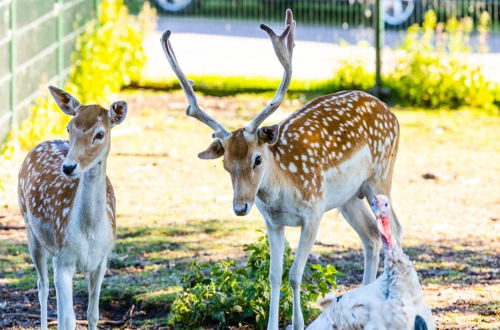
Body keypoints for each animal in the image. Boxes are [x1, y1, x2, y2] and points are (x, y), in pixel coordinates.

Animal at [17, 87, 127, 330]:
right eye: (69, 127)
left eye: (99, 134)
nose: (68, 167)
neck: (89, 232)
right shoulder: (63, 259)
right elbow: (68, 318)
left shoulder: (101, 260)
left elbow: (92, 313)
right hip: (30, 228)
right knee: (42, 285)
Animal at [160, 8, 402, 330]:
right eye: (225, 164)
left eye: (257, 159)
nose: (240, 207)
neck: (283, 191)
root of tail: (390, 112)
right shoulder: (273, 222)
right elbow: (274, 276)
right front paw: (275, 324)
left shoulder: (313, 212)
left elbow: (295, 274)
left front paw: (298, 324)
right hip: (349, 198)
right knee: (372, 237)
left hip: (381, 175)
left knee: (395, 229)